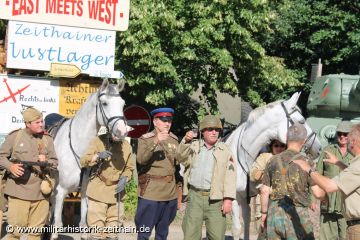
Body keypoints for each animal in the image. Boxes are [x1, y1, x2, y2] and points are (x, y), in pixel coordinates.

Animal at [50, 79, 130, 240]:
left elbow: (83, 224)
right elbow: (58, 223)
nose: (122, 132)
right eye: (104, 103)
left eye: (123, 104)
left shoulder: (84, 192)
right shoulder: (62, 191)